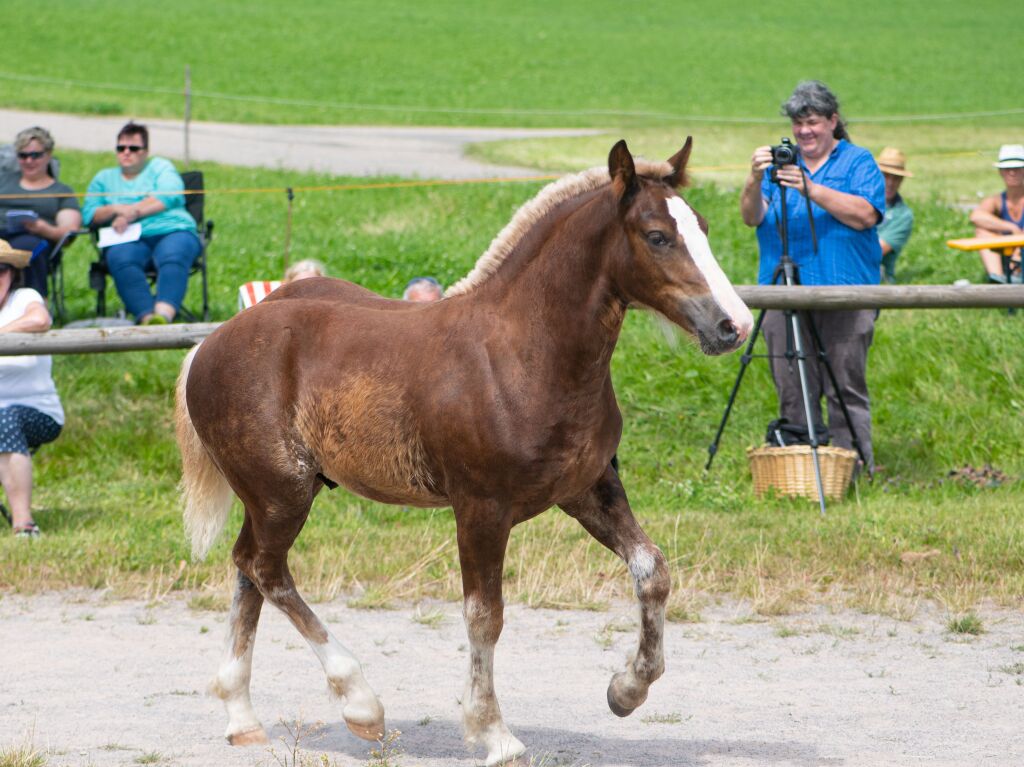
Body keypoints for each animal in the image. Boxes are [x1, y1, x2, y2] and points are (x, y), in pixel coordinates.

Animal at [176, 137, 753, 761]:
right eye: (657, 235)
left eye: (703, 226)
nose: (734, 325)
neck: (523, 354)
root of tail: (212, 341)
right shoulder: (481, 507)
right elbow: (484, 615)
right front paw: (493, 733)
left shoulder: (587, 488)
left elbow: (652, 569)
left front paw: (627, 689)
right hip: (283, 491)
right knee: (266, 568)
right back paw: (361, 704)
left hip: (268, 496)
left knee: (247, 569)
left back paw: (242, 718)